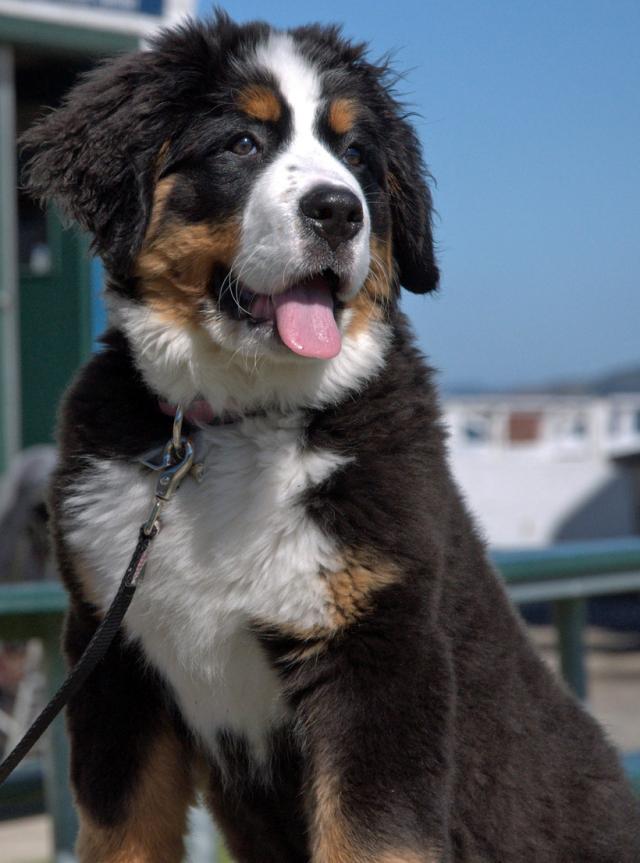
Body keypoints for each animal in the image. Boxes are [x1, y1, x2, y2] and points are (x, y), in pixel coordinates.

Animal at [21, 8, 640, 863]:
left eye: (355, 158)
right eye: (241, 143)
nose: (339, 210)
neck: (238, 423)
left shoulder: (378, 656)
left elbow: (372, 836)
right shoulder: (115, 658)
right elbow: (124, 832)